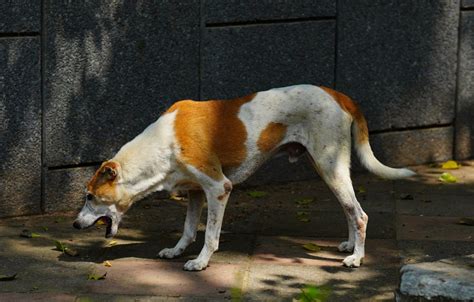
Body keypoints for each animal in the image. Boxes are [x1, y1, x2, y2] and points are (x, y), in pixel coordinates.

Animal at [71, 84, 414, 270]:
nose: (74, 224)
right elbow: (188, 230)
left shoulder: (218, 188)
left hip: (330, 166)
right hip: (329, 168)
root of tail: (339, 94)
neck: (163, 142)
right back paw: (350, 246)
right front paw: (176, 251)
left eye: (90, 196)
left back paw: (357, 258)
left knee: (360, 214)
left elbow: (210, 235)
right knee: (350, 210)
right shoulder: (196, 192)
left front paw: (200, 263)